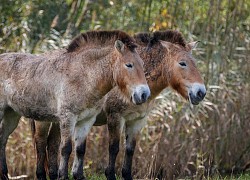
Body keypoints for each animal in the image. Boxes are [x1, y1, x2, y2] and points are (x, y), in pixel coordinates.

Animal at [0, 30, 150, 179]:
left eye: (143, 64)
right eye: (129, 65)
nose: (144, 94)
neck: (83, 75)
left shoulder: (86, 120)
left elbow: (80, 149)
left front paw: (78, 175)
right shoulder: (68, 118)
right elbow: (66, 148)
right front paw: (63, 176)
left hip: (11, 115)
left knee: (3, 138)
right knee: (39, 143)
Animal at [30, 30, 207, 179]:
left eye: (195, 63)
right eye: (182, 63)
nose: (201, 92)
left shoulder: (137, 121)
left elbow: (129, 150)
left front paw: (126, 175)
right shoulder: (116, 117)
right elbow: (114, 148)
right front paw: (110, 174)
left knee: (52, 144)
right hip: (44, 120)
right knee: (40, 144)